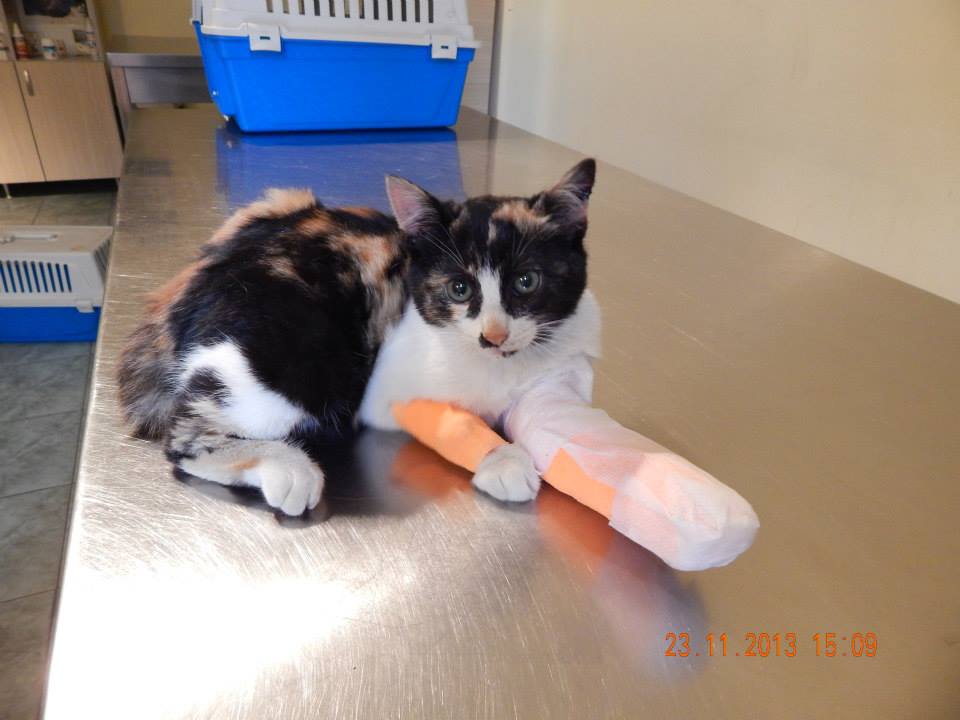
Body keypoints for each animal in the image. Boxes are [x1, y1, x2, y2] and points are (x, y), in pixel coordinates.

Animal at [117, 159, 598, 515]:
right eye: (459, 288)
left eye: (526, 282)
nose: (493, 336)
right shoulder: (388, 393)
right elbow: (455, 420)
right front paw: (501, 458)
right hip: (299, 362)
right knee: (186, 441)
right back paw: (290, 468)